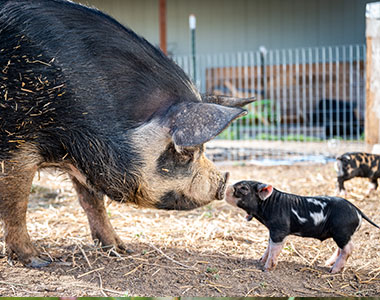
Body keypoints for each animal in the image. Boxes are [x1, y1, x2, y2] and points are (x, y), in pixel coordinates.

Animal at [0, 0, 255, 268]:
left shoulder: (87, 157)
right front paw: (37, 260)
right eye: (185, 152)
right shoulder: (18, 141)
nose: (223, 183)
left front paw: (120, 248)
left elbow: (93, 202)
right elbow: (16, 203)